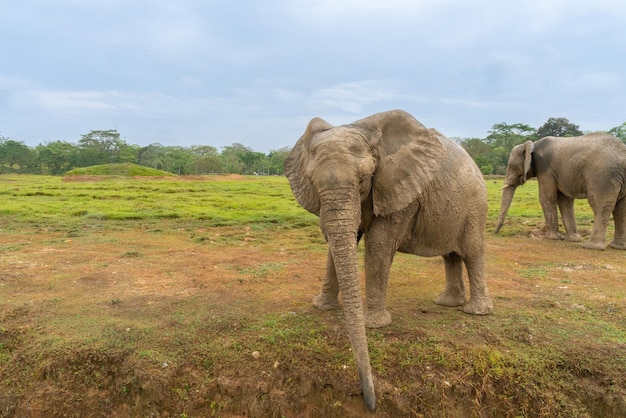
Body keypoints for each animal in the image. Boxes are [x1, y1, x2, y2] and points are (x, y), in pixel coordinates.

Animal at [282, 108, 492, 412]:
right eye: (311, 181)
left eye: (363, 179)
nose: (370, 403)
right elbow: (340, 241)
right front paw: (322, 307)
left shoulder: (400, 190)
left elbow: (378, 246)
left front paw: (374, 324)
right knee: (450, 254)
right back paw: (447, 303)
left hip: (475, 205)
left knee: (472, 252)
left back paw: (475, 312)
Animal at [492, 132, 624, 250]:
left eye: (511, 166)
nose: (494, 233)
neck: (533, 144)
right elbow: (565, 200)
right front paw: (572, 239)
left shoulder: (545, 169)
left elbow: (546, 197)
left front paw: (551, 238)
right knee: (620, 210)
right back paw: (617, 247)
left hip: (602, 177)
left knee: (600, 205)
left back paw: (590, 247)